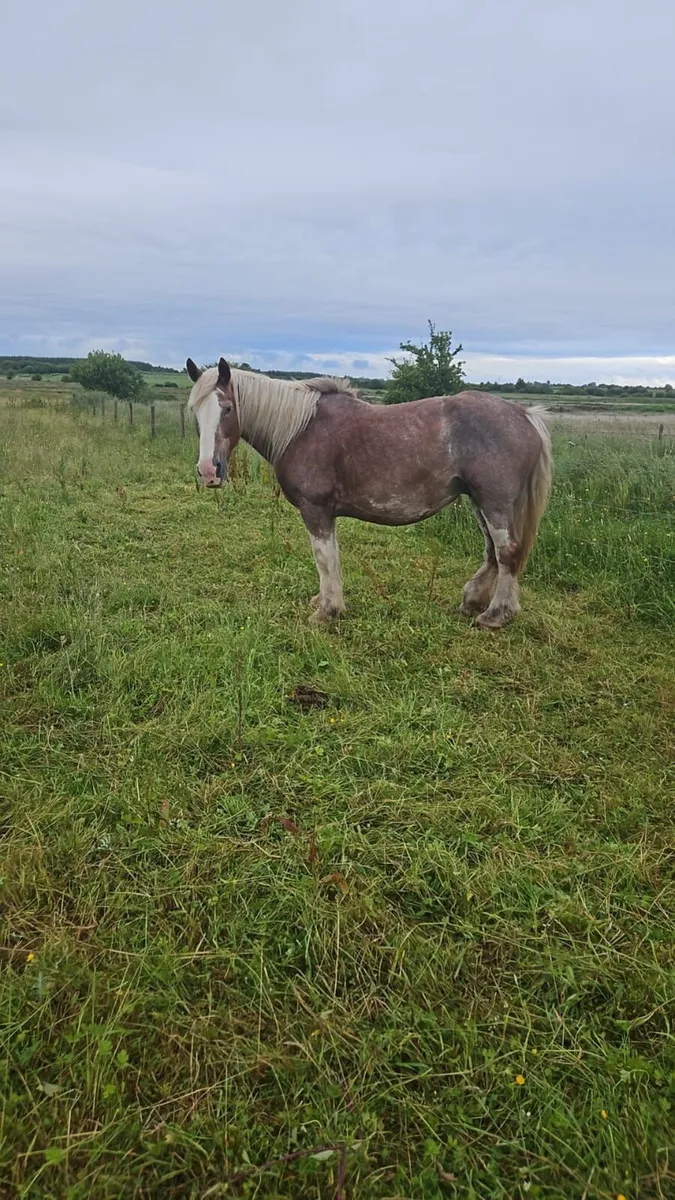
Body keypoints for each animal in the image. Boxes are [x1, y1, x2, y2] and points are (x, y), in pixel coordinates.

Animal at [186, 357, 552, 629]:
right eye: (195, 411)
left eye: (228, 409)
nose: (208, 471)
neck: (301, 429)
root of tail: (524, 415)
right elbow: (331, 558)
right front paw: (326, 602)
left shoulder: (315, 510)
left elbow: (324, 558)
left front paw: (327, 611)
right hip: (479, 500)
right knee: (494, 553)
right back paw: (474, 601)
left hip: (494, 502)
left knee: (507, 552)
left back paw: (495, 615)